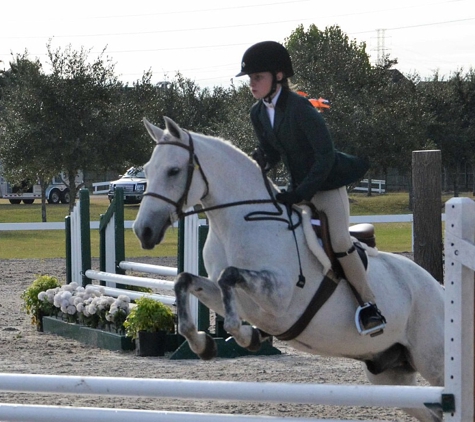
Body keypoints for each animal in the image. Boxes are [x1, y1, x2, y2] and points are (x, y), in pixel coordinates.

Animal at [134, 116, 446, 422]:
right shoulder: (232, 297)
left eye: (174, 171)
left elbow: (229, 278)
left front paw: (246, 337)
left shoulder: (279, 297)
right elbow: (185, 281)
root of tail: (438, 288)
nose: (143, 231)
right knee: (433, 413)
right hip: (390, 375)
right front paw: (204, 345)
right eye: (146, 170)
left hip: (433, 361)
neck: (240, 222)